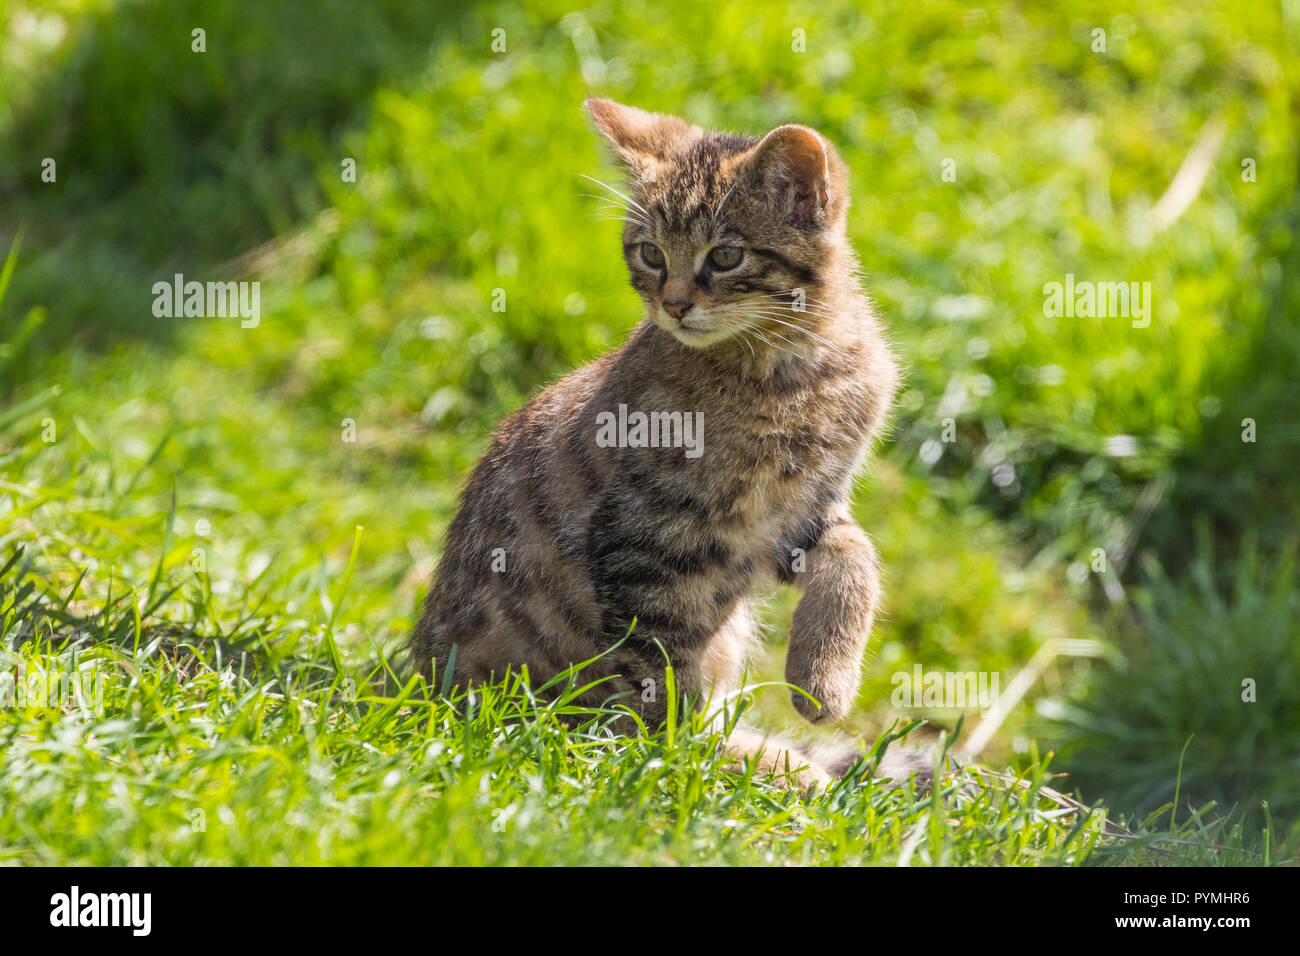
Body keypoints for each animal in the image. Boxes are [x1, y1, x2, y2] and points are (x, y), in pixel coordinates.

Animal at [413, 95, 904, 785]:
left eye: (725, 257)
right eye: (649, 253)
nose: (673, 305)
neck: (791, 372)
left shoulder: (802, 511)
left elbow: (857, 557)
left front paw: (822, 680)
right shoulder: (648, 539)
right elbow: (661, 681)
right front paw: (671, 769)